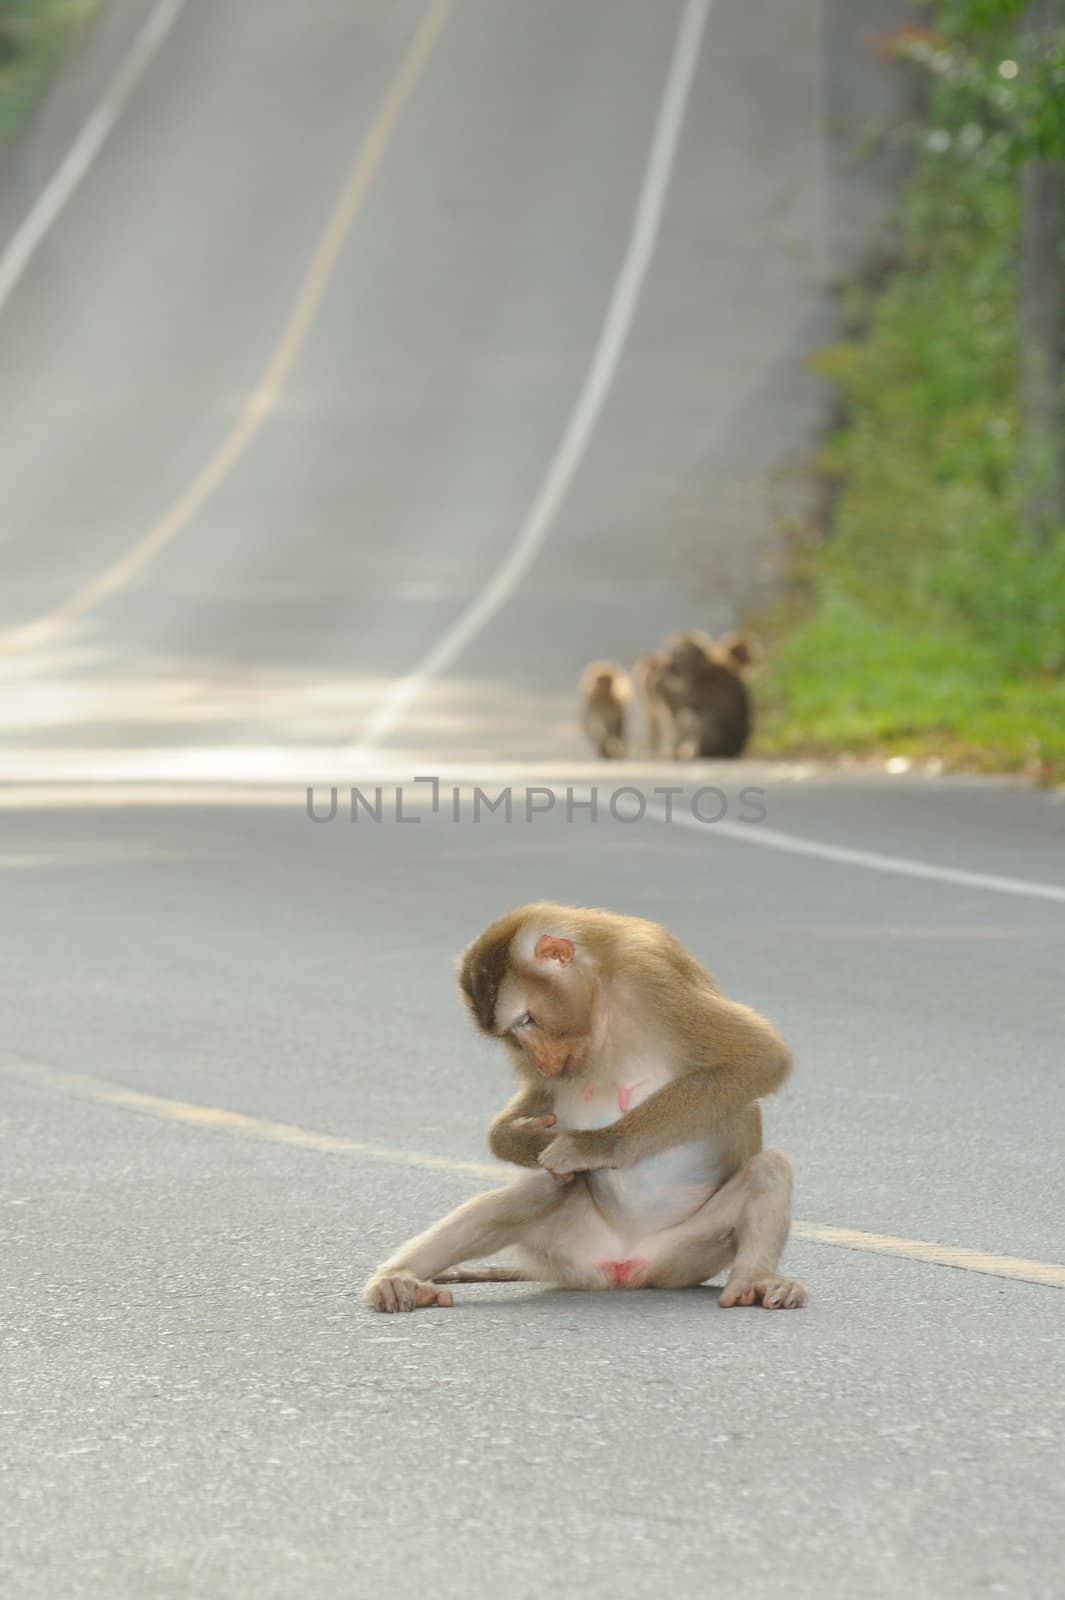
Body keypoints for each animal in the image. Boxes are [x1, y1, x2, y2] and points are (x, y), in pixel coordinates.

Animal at [361, 908, 799, 1318]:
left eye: (527, 1020)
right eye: (511, 1037)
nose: (537, 1058)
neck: (601, 1002)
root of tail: (624, 1264)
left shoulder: (652, 972)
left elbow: (759, 1058)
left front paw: (593, 1146)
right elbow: (541, 1097)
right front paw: (520, 1138)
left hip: (690, 1253)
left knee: (770, 1167)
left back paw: (756, 1280)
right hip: (566, 1248)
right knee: (542, 1190)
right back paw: (398, 1277)